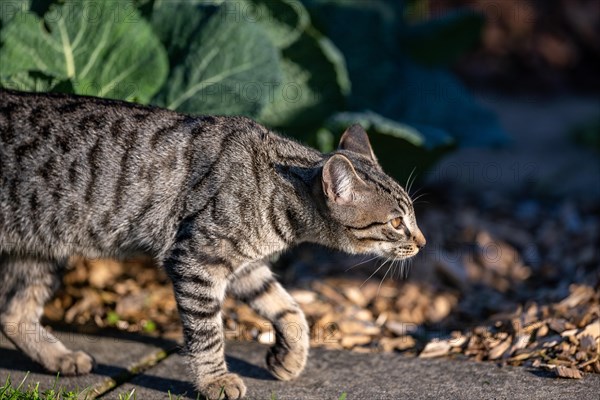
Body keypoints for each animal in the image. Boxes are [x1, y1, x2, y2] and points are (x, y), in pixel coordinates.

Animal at [0, 89, 426, 398]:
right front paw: (214, 381)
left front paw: (289, 358)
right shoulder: (196, 260)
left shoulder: (243, 264)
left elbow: (290, 309)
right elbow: (207, 334)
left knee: (12, 314)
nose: (422, 242)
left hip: (41, 250)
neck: (278, 197)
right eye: (396, 223)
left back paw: (59, 357)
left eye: (413, 217)